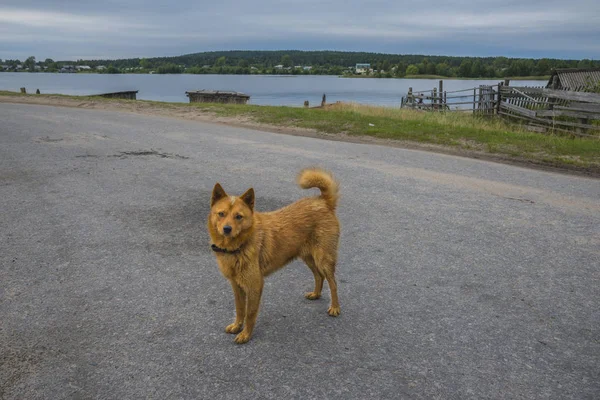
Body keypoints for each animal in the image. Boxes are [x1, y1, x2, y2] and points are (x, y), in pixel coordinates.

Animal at [207, 168, 340, 344]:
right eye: (221, 214)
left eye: (238, 216)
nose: (227, 229)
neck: (240, 245)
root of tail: (323, 202)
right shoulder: (236, 286)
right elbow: (240, 309)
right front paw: (237, 326)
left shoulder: (255, 285)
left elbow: (250, 313)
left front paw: (246, 334)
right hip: (308, 257)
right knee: (319, 276)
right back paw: (316, 294)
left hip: (323, 258)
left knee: (333, 283)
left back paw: (335, 307)